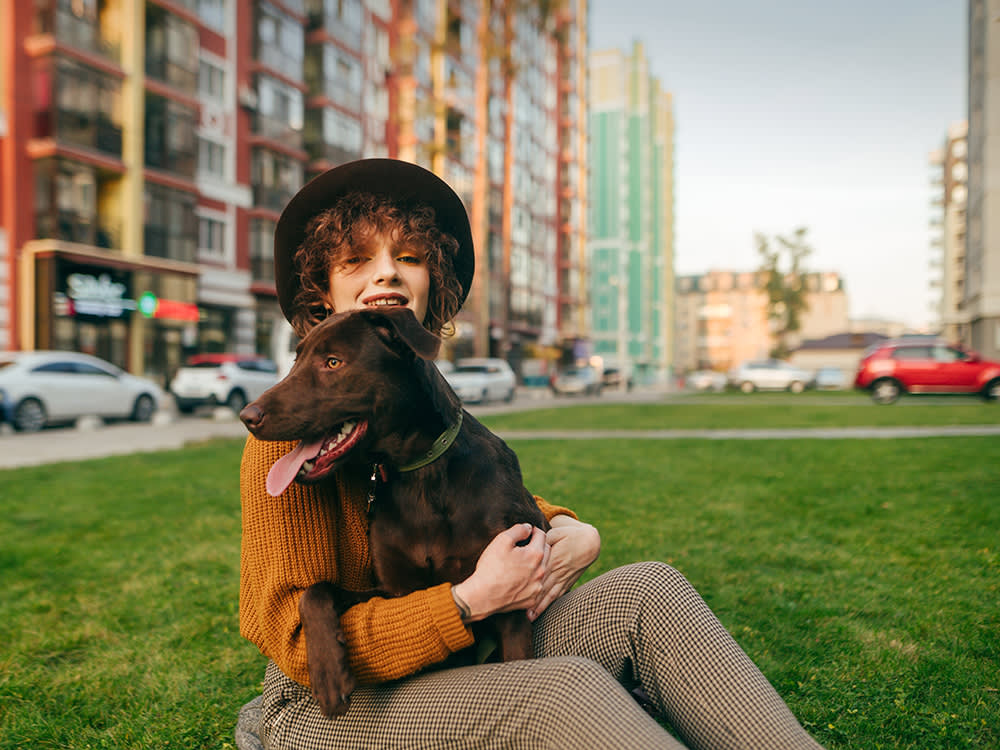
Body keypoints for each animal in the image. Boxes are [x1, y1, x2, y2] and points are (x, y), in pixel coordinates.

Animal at [239, 308, 552, 720]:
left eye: (333, 362)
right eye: (295, 360)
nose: (246, 415)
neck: (422, 475)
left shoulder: (514, 603)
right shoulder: (395, 591)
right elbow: (314, 591)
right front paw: (329, 673)